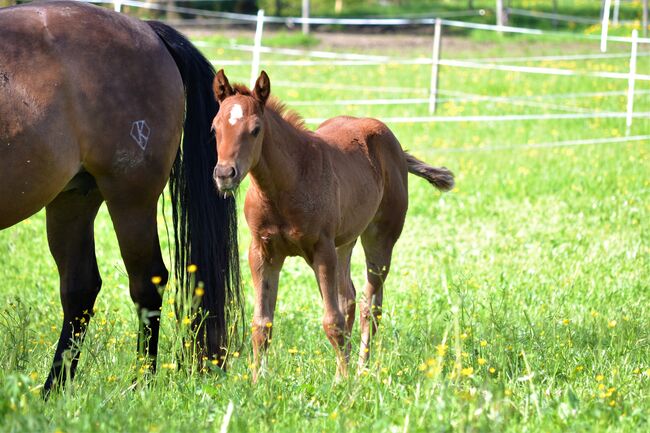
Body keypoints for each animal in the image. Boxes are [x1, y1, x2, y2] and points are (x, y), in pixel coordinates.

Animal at [0, 0, 242, 392]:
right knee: (80, 288)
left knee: (148, 282)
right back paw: (54, 390)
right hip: (74, 198)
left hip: (130, 197)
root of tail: (146, 30)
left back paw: (140, 383)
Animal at [210, 69, 454, 376]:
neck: (286, 185)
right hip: (345, 242)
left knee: (369, 304)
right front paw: (258, 380)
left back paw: (360, 369)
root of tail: (396, 146)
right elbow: (262, 323)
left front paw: (345, 380)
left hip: (380, 238)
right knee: (349, 297)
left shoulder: (321, 250)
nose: (224, 174)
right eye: (214, 128)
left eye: (255, 129)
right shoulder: (262, 251)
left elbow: (332, 321)